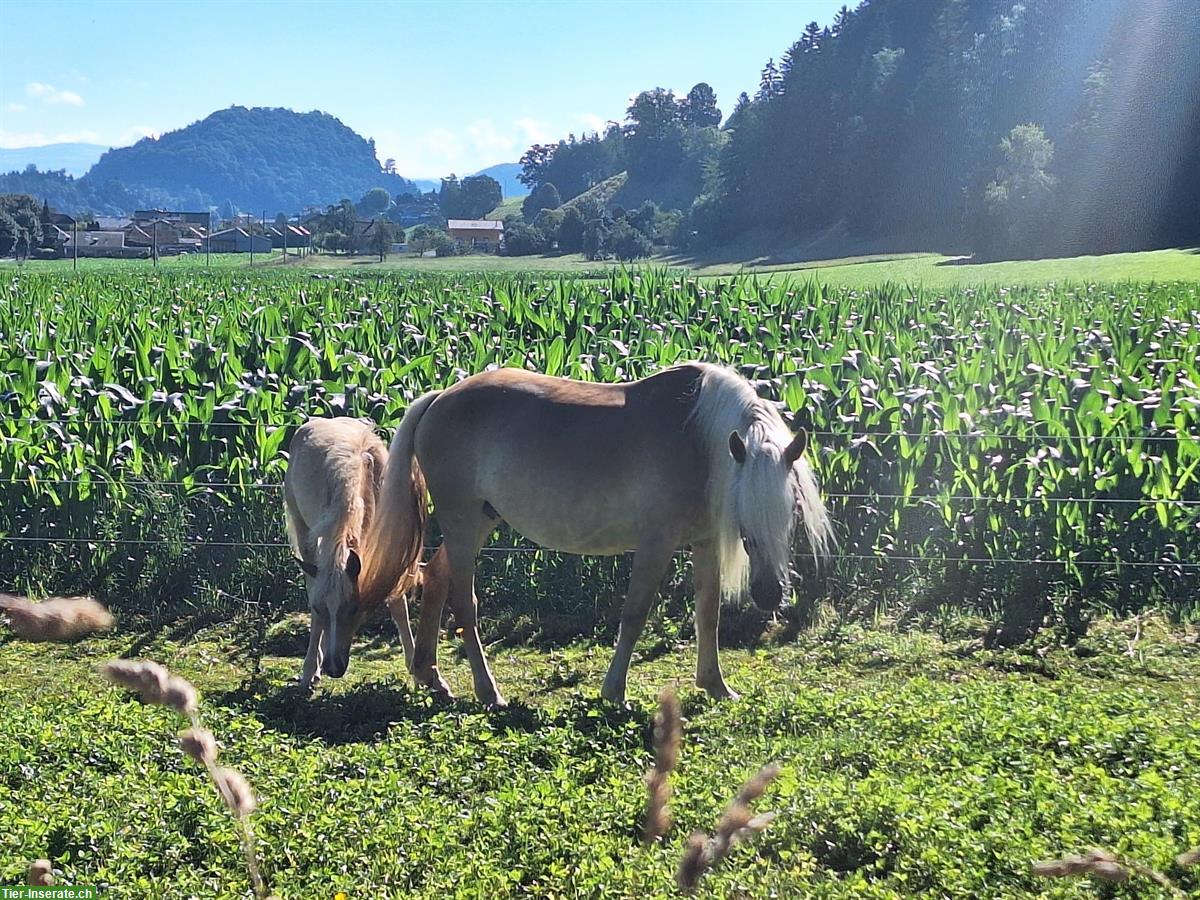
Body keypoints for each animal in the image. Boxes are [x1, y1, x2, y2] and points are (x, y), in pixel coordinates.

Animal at [282, 417, 417, 691]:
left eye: (354, 608)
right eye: (321, 608)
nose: (334, 667)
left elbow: (398, 604)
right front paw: (309, 670)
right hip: (302, 528)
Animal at [336, 362, 835, 710]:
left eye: (791, 511)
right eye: (746, 519)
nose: (770, 595)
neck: (697, 438)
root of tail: (440, 397)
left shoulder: (705, 542)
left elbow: (707, 612)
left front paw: (715, 685)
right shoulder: (656, 543)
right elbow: (634, 614)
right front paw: (615, 691)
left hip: (478, 521)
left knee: (434, 579)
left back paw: (431, 677)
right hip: (462, 524)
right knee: (465, 604)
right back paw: (487, 691)